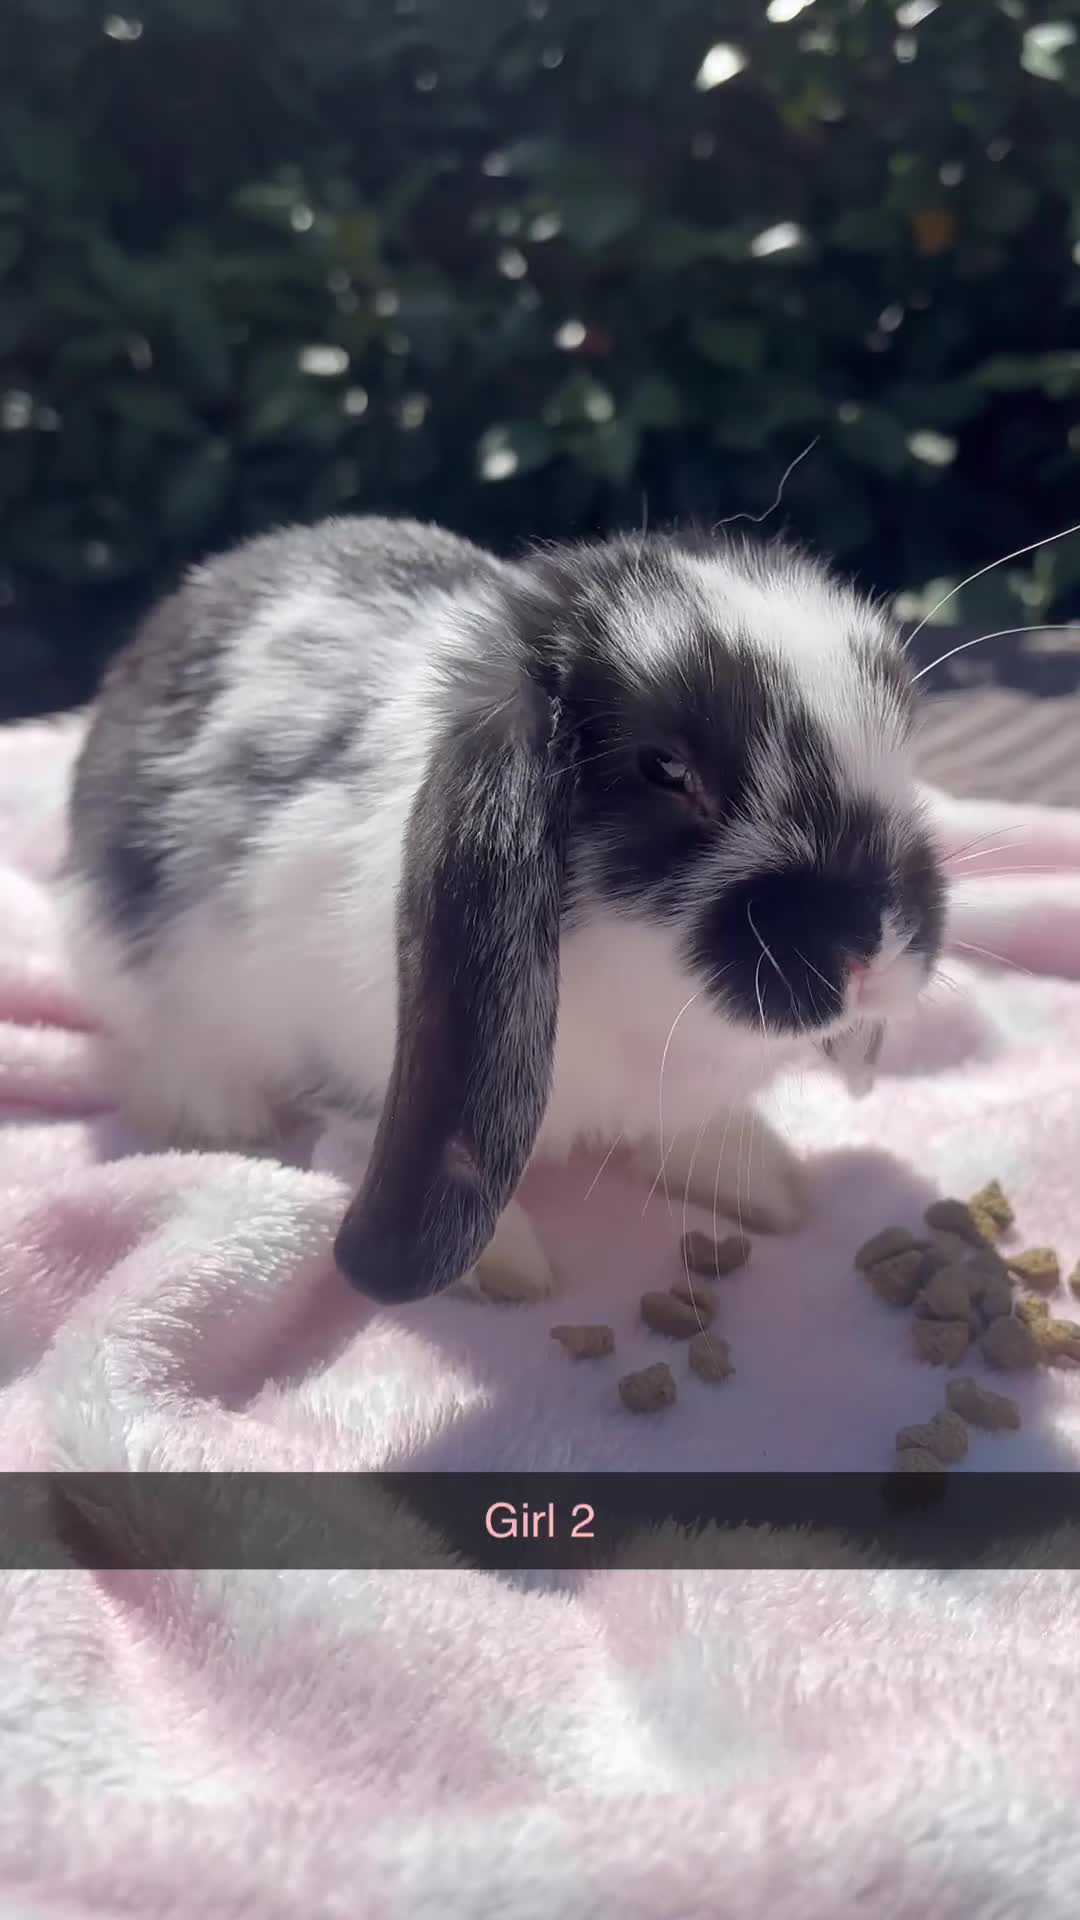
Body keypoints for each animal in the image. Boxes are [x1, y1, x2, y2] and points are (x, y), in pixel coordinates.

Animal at [61, 514, 946, 1305]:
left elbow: (681, 1129)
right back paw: (218, 1117)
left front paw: (766, 1181)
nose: (875, 951)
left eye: (901, 743)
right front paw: (503, 1266)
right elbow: (359, 1127)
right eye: (665, 768)